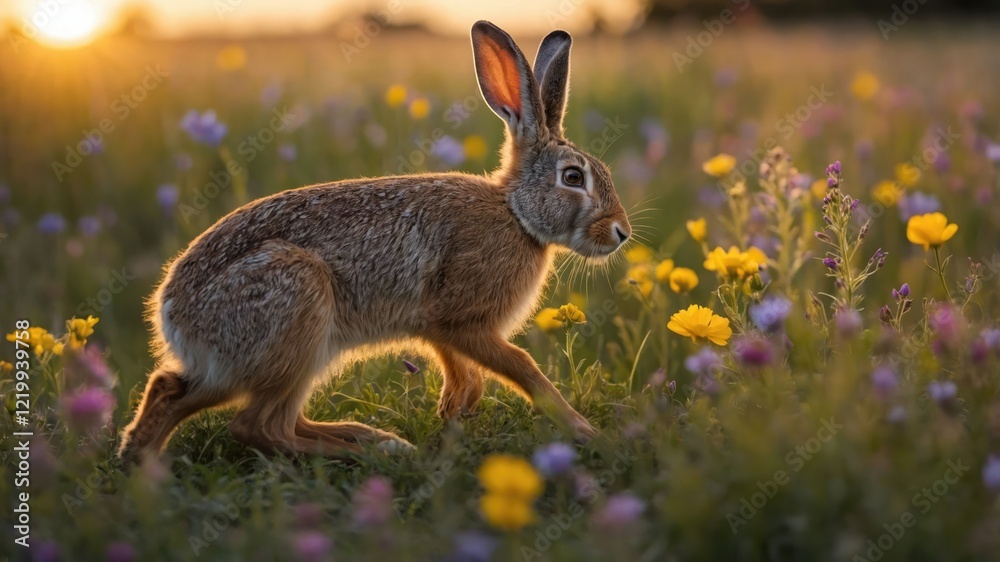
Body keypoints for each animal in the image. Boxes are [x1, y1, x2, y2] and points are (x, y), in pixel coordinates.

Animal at [118, 20, 632, 466]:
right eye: (573, 178)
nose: (621, 232)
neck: (516, 214)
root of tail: (171, 316)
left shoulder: (439, 327)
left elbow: (461, 369)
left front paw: (455, 408)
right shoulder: (461, 319)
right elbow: (523, 367)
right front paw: (584, 431)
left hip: (293, 354)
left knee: (185, 391)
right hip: (298, 308)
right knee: (257, 426)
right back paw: (375, 449)